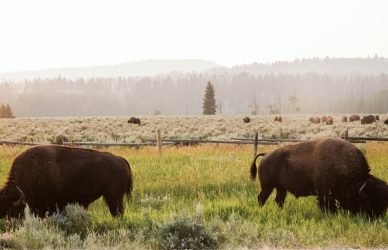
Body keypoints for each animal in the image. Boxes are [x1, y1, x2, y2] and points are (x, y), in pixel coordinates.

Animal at [252, 138, 388, 218]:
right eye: (369, 202)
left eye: (384, 203)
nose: (378, 217)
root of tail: (266, 154)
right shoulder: (324, 193)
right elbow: (325, 206)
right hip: (267, 186)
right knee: (261, 198)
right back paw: (261, 211)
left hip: (281, 188)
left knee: (279, 200)